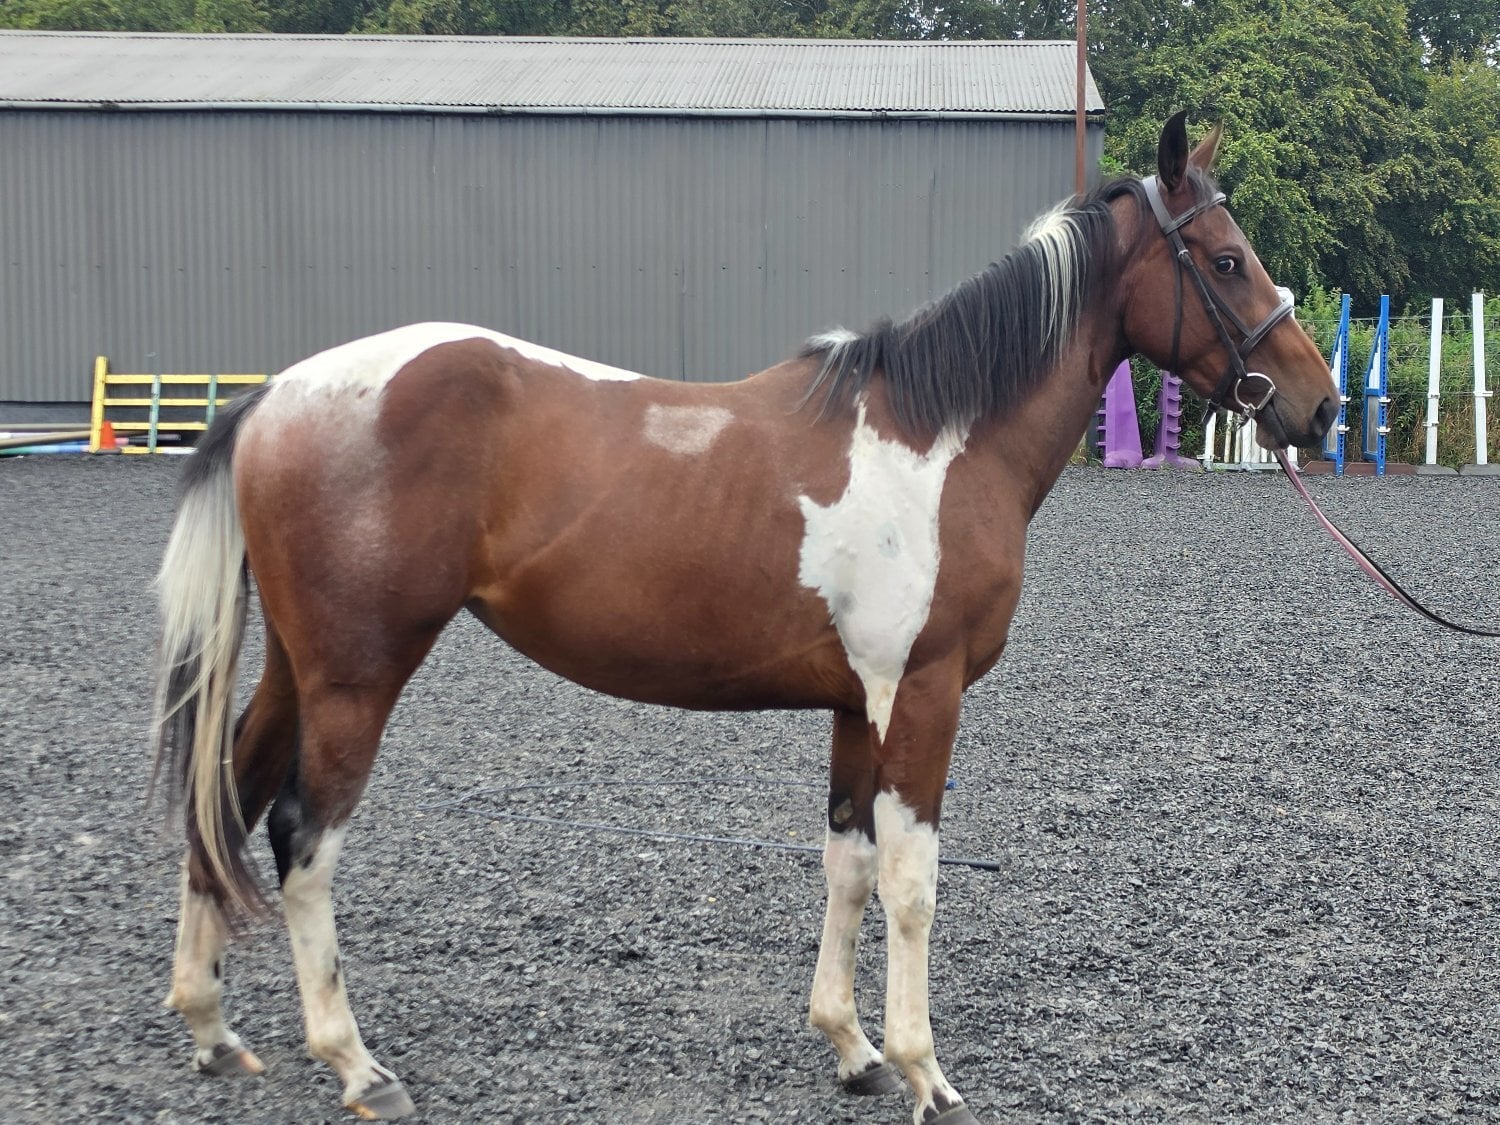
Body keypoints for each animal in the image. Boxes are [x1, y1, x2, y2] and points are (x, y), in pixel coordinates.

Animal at [151, 112, 1338, 1124]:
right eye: (1224, 261)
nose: (1318, 404)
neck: (937, 443)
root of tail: (280, 394)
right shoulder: (923, 696)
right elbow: (913, 884)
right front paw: (925, 1071)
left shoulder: (859, 705)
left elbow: (847, 864)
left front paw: (853, 1049)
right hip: (357, 674)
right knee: (302, 838)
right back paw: (356, 1065)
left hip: (297, 668)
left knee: (228, 796)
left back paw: (212, 1029)